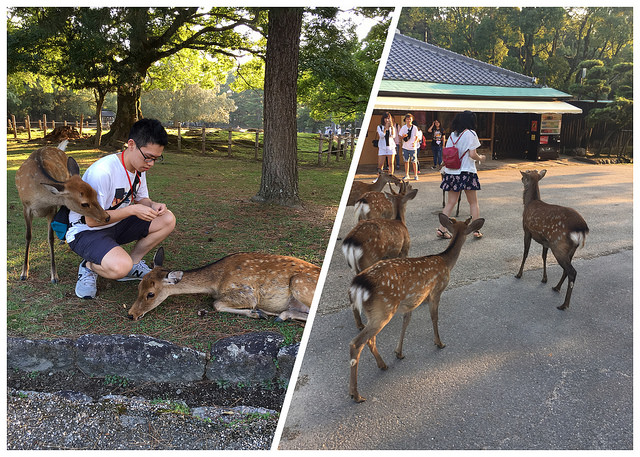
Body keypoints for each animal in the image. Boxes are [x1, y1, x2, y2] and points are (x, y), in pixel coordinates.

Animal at [14, 140, 110, 283]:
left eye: (95, 193)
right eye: (84, 203)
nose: (106, 217)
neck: (40, 200)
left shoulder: (52, 208)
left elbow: (50, 238)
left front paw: (54, 276)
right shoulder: (25, 207)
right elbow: (28, 236)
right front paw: (24, 273)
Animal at [128, 247, 321, 321]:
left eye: (151, 294)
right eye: (138, 287)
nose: (131, 314)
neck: (216, 282)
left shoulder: (247, 293)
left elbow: (217, 304)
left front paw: (256, 312)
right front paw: (258, 312)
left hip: (299, 282)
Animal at [348, 213, 484, 402]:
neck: (445, 262)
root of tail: (358, 285)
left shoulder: (412, 300)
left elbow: (406, 322)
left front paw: (399, 352)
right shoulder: (436, 290)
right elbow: (434, 317)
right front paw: (439, 342)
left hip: (376, 313)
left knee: (369, 339)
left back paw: (382, 365)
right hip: (384, 309)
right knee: (356, 343)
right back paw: (356, 394)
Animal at [515, 169, 589, 310]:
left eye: (526, 173)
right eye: (531, 172)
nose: (521, 177)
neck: (529, 203)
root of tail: (582, 228)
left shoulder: (527, 230)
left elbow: (525, 253)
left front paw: (519, 274)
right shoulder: (545, 241)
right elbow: (543, 256)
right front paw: (544, 279)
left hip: (558, 245)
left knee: (572, 271)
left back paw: (564, 304)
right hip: (570, 248)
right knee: (567, 270)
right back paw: (556, 287)